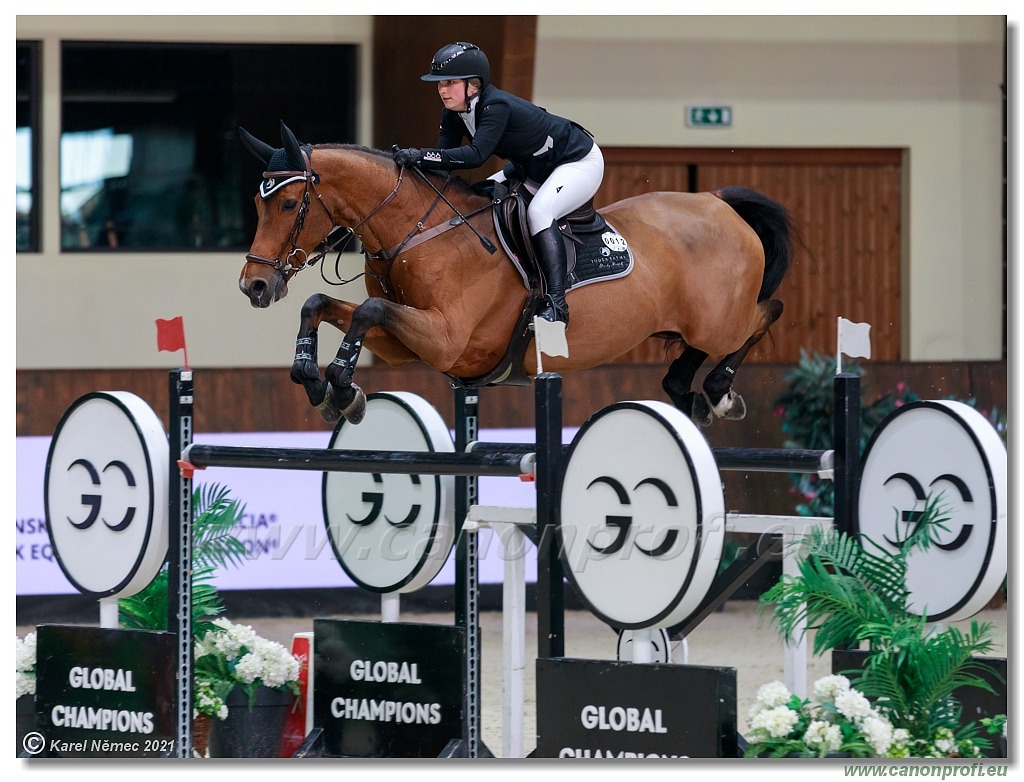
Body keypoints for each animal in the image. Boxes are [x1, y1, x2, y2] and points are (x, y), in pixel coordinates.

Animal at [239, 122, 790, 427]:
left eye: (287, 203)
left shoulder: (447, 339)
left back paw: (719, 393)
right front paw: (317, 383)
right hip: (690, 323)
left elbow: (368, 309)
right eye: (257, 203)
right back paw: (689, 393)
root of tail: (717, 202)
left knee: (767, 312)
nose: (254, 286)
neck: (416, 232)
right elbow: (322, 306)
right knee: (697, 352)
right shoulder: (405, 346)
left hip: (720, 322)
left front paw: (340, 387)